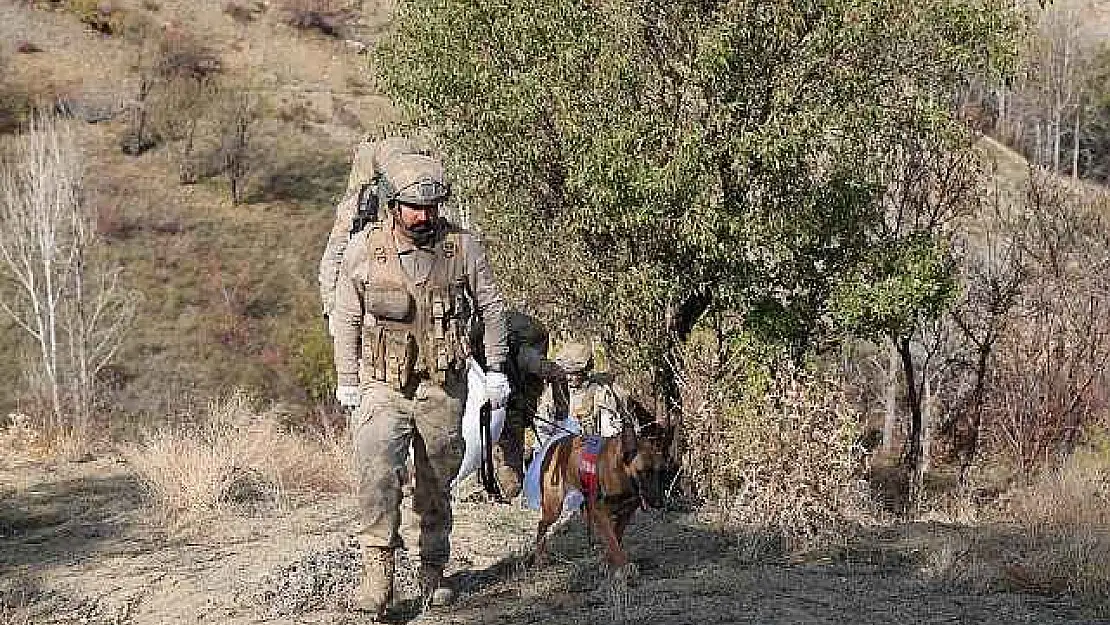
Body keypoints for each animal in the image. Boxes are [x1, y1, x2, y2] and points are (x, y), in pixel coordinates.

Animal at [532, 424, 670, 572]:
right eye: (643, 472)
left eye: (663, 472)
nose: (659, 503)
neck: (622, 473)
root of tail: (556, 443)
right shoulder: (601, 512)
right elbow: (612, 541)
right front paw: (623, 567)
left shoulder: (625, 514)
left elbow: (615, 537)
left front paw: (607, 562)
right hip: (554, 507)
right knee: (542, 525)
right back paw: (539, 559)